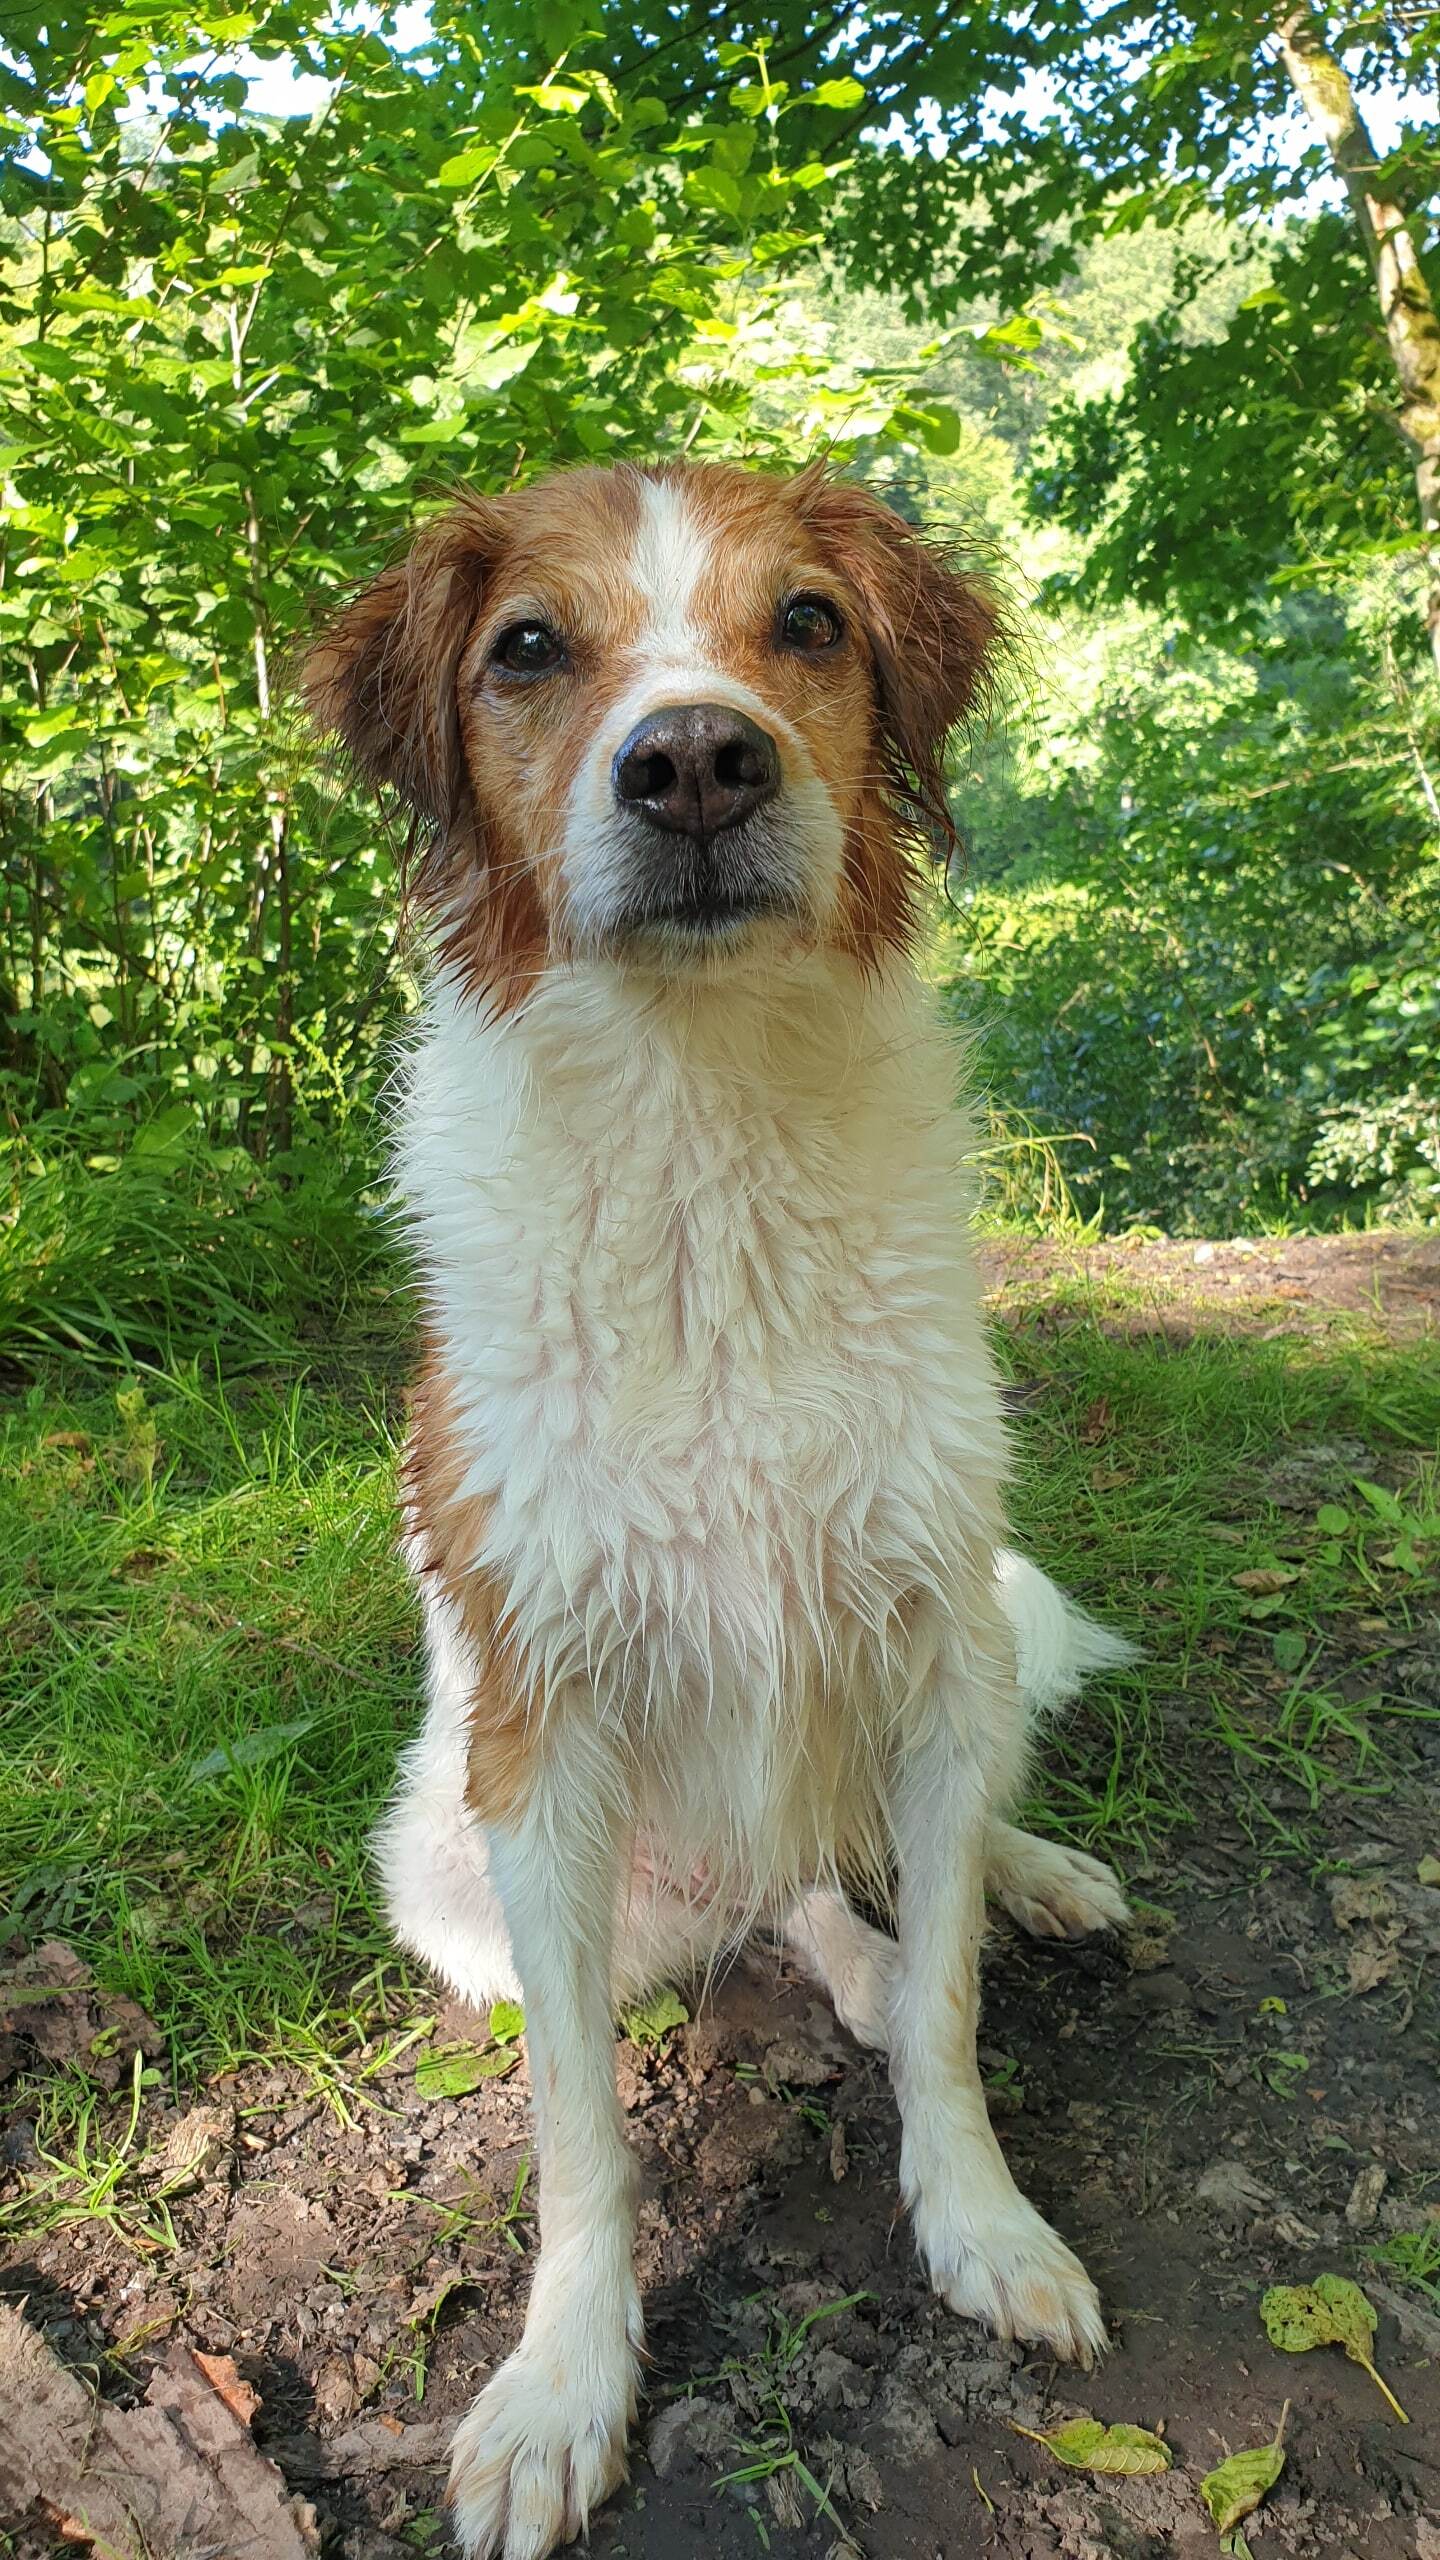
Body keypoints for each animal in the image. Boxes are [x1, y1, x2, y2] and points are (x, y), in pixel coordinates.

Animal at [304, 458, 1133, 2560]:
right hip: (447, 1858)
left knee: (894, 1874)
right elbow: (580, 2130)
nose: (693, 763)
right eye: (528, 647)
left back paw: (1024, 1882)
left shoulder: (928, 1625)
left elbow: (952, 2010)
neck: (706, 1131)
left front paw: (984, 2224)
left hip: (970, 1656)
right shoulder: (544, 1735)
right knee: (781, 1909)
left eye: (810, 624)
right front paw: (560, 2388)